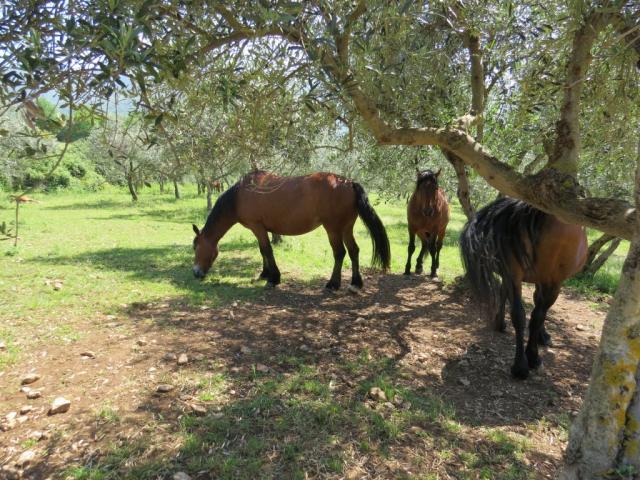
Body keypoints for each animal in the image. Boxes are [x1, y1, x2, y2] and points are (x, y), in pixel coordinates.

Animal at [190, 171, 390, 290]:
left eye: (196, 247)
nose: (196, 273)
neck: (241, 195)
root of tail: (348, 183)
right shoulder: (259, 229)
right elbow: (262, 251)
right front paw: (264, 274)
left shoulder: (257, 226)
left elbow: (267, 250)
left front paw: (273, 278)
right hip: (346, 228)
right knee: (354, 250)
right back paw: (356, 283)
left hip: (333, 229)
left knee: (339, 253)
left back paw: (333, 284)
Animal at [460, 197, 592, 380]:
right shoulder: (533, 278)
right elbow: (529, 314)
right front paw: (528, 358)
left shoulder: (540, 280)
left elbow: (534, 310)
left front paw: (536, 347)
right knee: (521, 305)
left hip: (527, 277)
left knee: (526, 306)